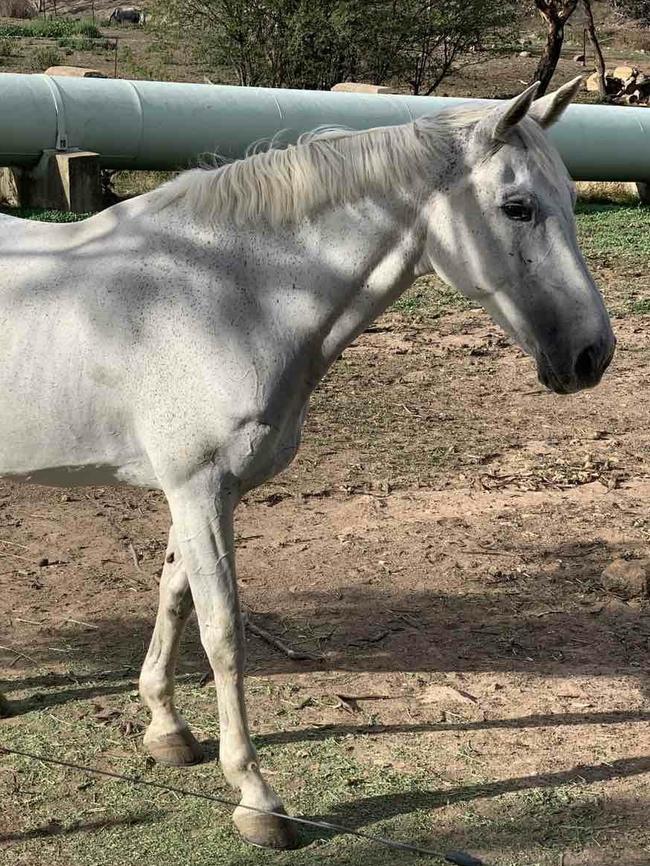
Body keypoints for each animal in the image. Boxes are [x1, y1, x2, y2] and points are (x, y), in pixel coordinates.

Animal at [1, 77, 612, 848]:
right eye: (518, 206)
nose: (593, 355)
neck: (225, 296)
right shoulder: (198, 490)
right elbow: (223, 631)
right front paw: (256, 797)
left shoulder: (202, 493)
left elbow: (174, 597)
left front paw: (167, 730)